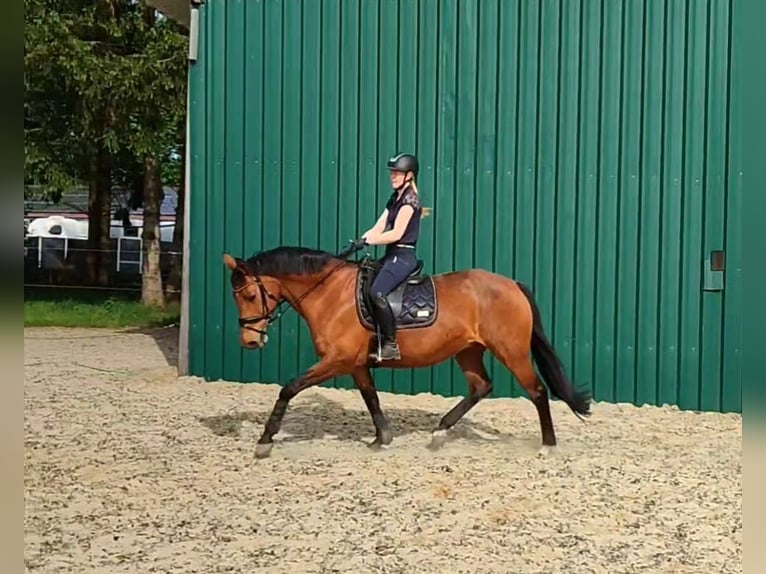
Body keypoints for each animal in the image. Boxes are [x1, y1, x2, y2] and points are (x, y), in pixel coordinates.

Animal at [222, 245, 592, 462]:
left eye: (250, 296)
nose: (249, 341)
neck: (329, 293)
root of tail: (512, 284)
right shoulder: (356, 364)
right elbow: (371, 398)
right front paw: (381, 438)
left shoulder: (336, 361)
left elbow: (289, 388)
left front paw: (265, 441)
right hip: (468, 350)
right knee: (480, 387)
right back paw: (439, 433)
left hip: (511, 351)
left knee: (537, 391)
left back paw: (547, 445)